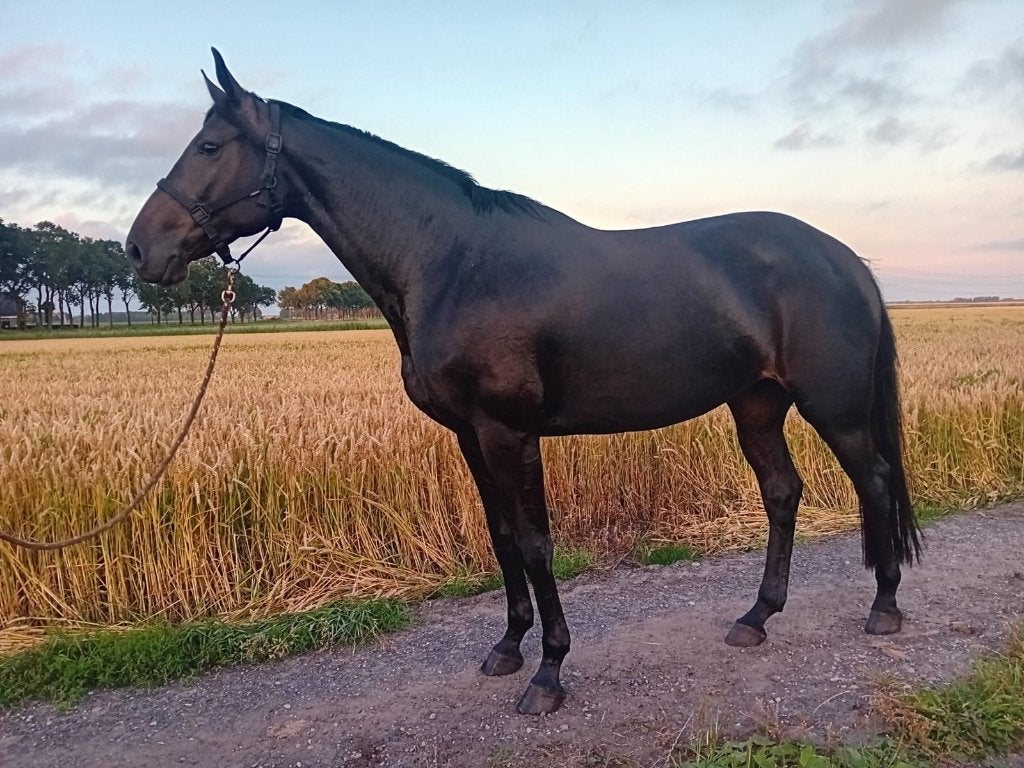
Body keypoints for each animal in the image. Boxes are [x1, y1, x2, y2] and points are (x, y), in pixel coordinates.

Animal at [126, 49, 921, 715]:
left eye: (209, 146)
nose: (139, 249)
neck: (451, 262)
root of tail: (843, 257)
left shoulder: (510, 432)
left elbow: (536, 543)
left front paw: (548, 673)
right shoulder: (470, 436)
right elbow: (503, 536)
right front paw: (508, 648)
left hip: (834, 407)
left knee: (875, 479)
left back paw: (884, 605)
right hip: (756, 402)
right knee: (783, 492)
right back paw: (756, 618)